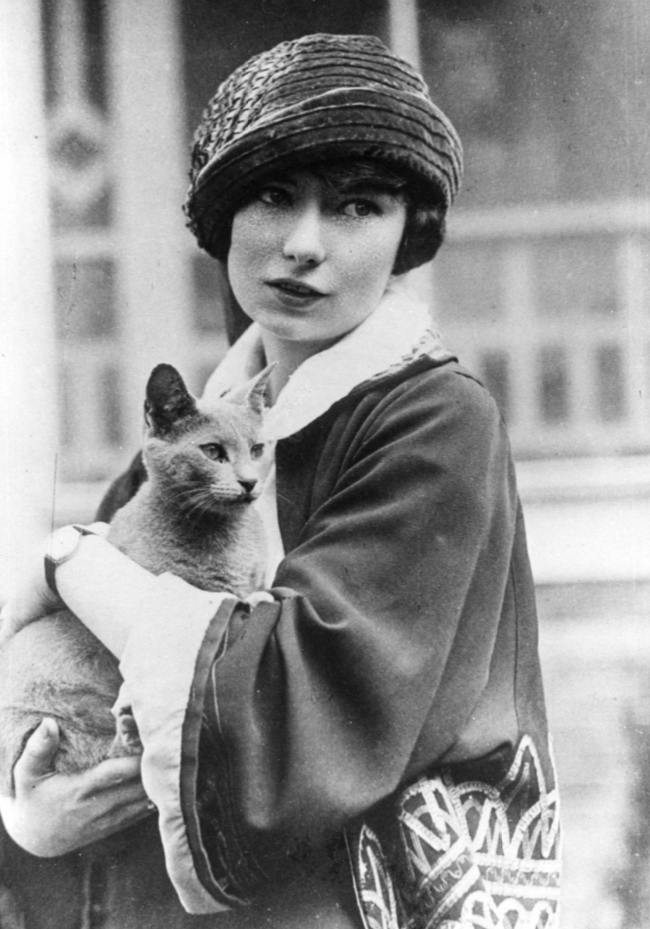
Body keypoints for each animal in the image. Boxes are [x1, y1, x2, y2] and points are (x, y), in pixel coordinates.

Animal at [0, 362, 274, 793]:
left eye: (258, 450)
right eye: (213, 451)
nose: (249, 482)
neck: (223, 536)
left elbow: (257, 591)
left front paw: (260, 598)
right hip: (39, 715)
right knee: (100, 753)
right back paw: (130, 727)